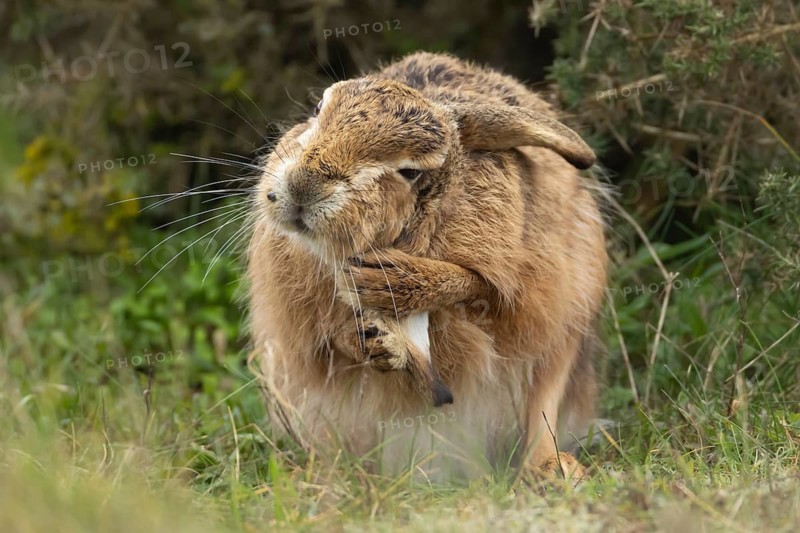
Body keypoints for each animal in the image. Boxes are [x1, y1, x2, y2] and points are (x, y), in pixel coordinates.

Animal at [247, 52, 607, 481]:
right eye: (318, 110)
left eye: (410, 171)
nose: (304, 185)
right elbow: (327, 342)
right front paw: (374, 342)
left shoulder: (521, 283)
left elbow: (483, 287)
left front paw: (390, 284)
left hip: (568, 330)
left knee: (543, 402)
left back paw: (555, 471)